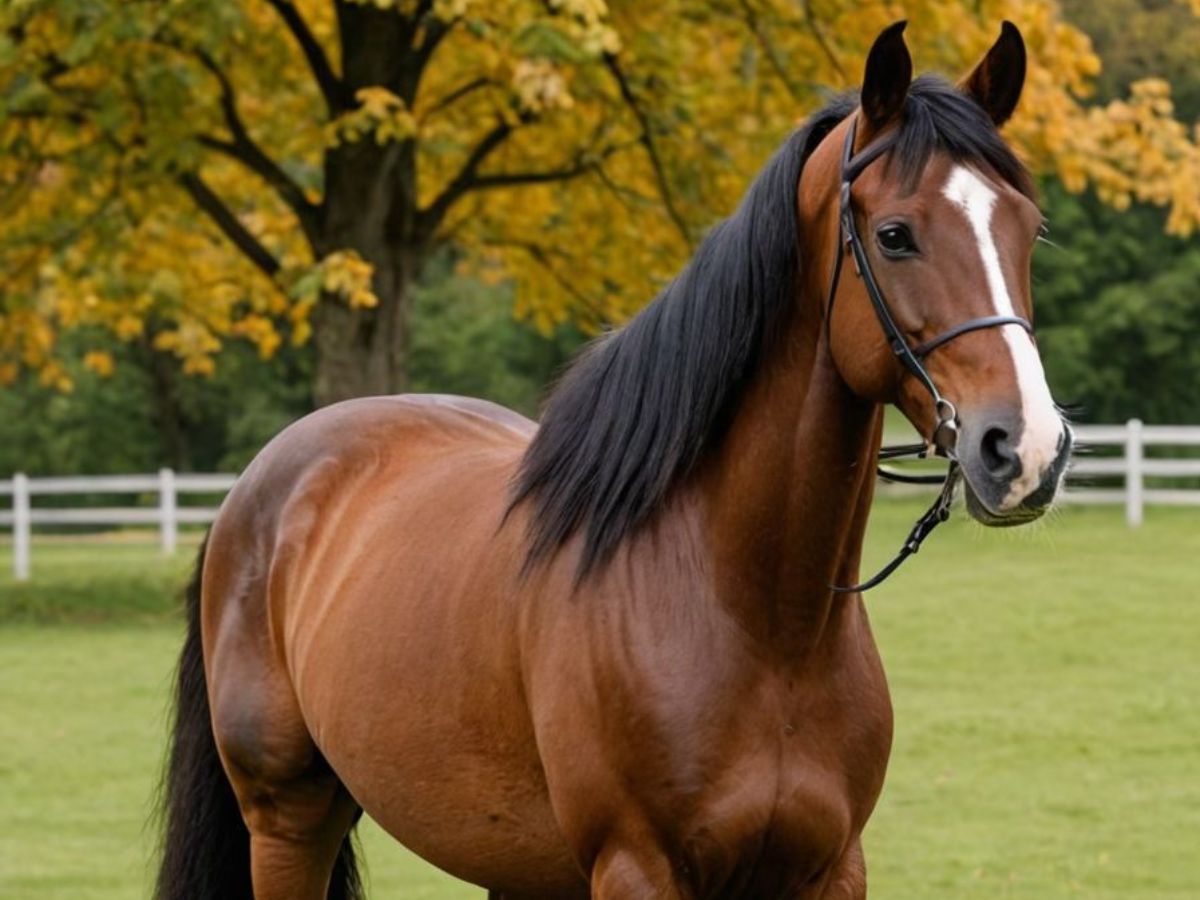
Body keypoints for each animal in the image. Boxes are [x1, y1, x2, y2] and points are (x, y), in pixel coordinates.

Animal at [157, 20, 1072, 900]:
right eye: (894, 236)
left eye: (1027, 229)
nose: (1025, 449)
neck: (752, 615)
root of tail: (261, 486)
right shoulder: (637, 868)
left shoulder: (830, 870)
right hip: (288, 821)